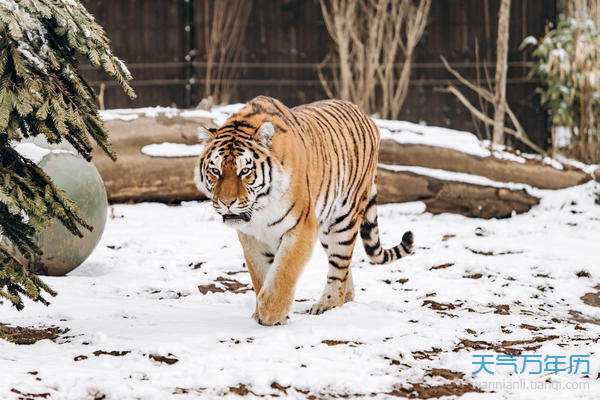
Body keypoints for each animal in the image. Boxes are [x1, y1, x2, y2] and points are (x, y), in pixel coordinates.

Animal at [195, 96, 414, 324]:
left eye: (245, 171)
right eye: (215, 171)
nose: (226, 202)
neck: (260, 210)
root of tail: (364, 114)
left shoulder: (302, 227)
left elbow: (283, 272)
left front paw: (269, 313)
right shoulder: (251, 236)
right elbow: (261, 275)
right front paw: (263, 313)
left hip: (343, 221)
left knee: (339, 267)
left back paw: (327, 304)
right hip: (327, 225)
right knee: (345, 270)